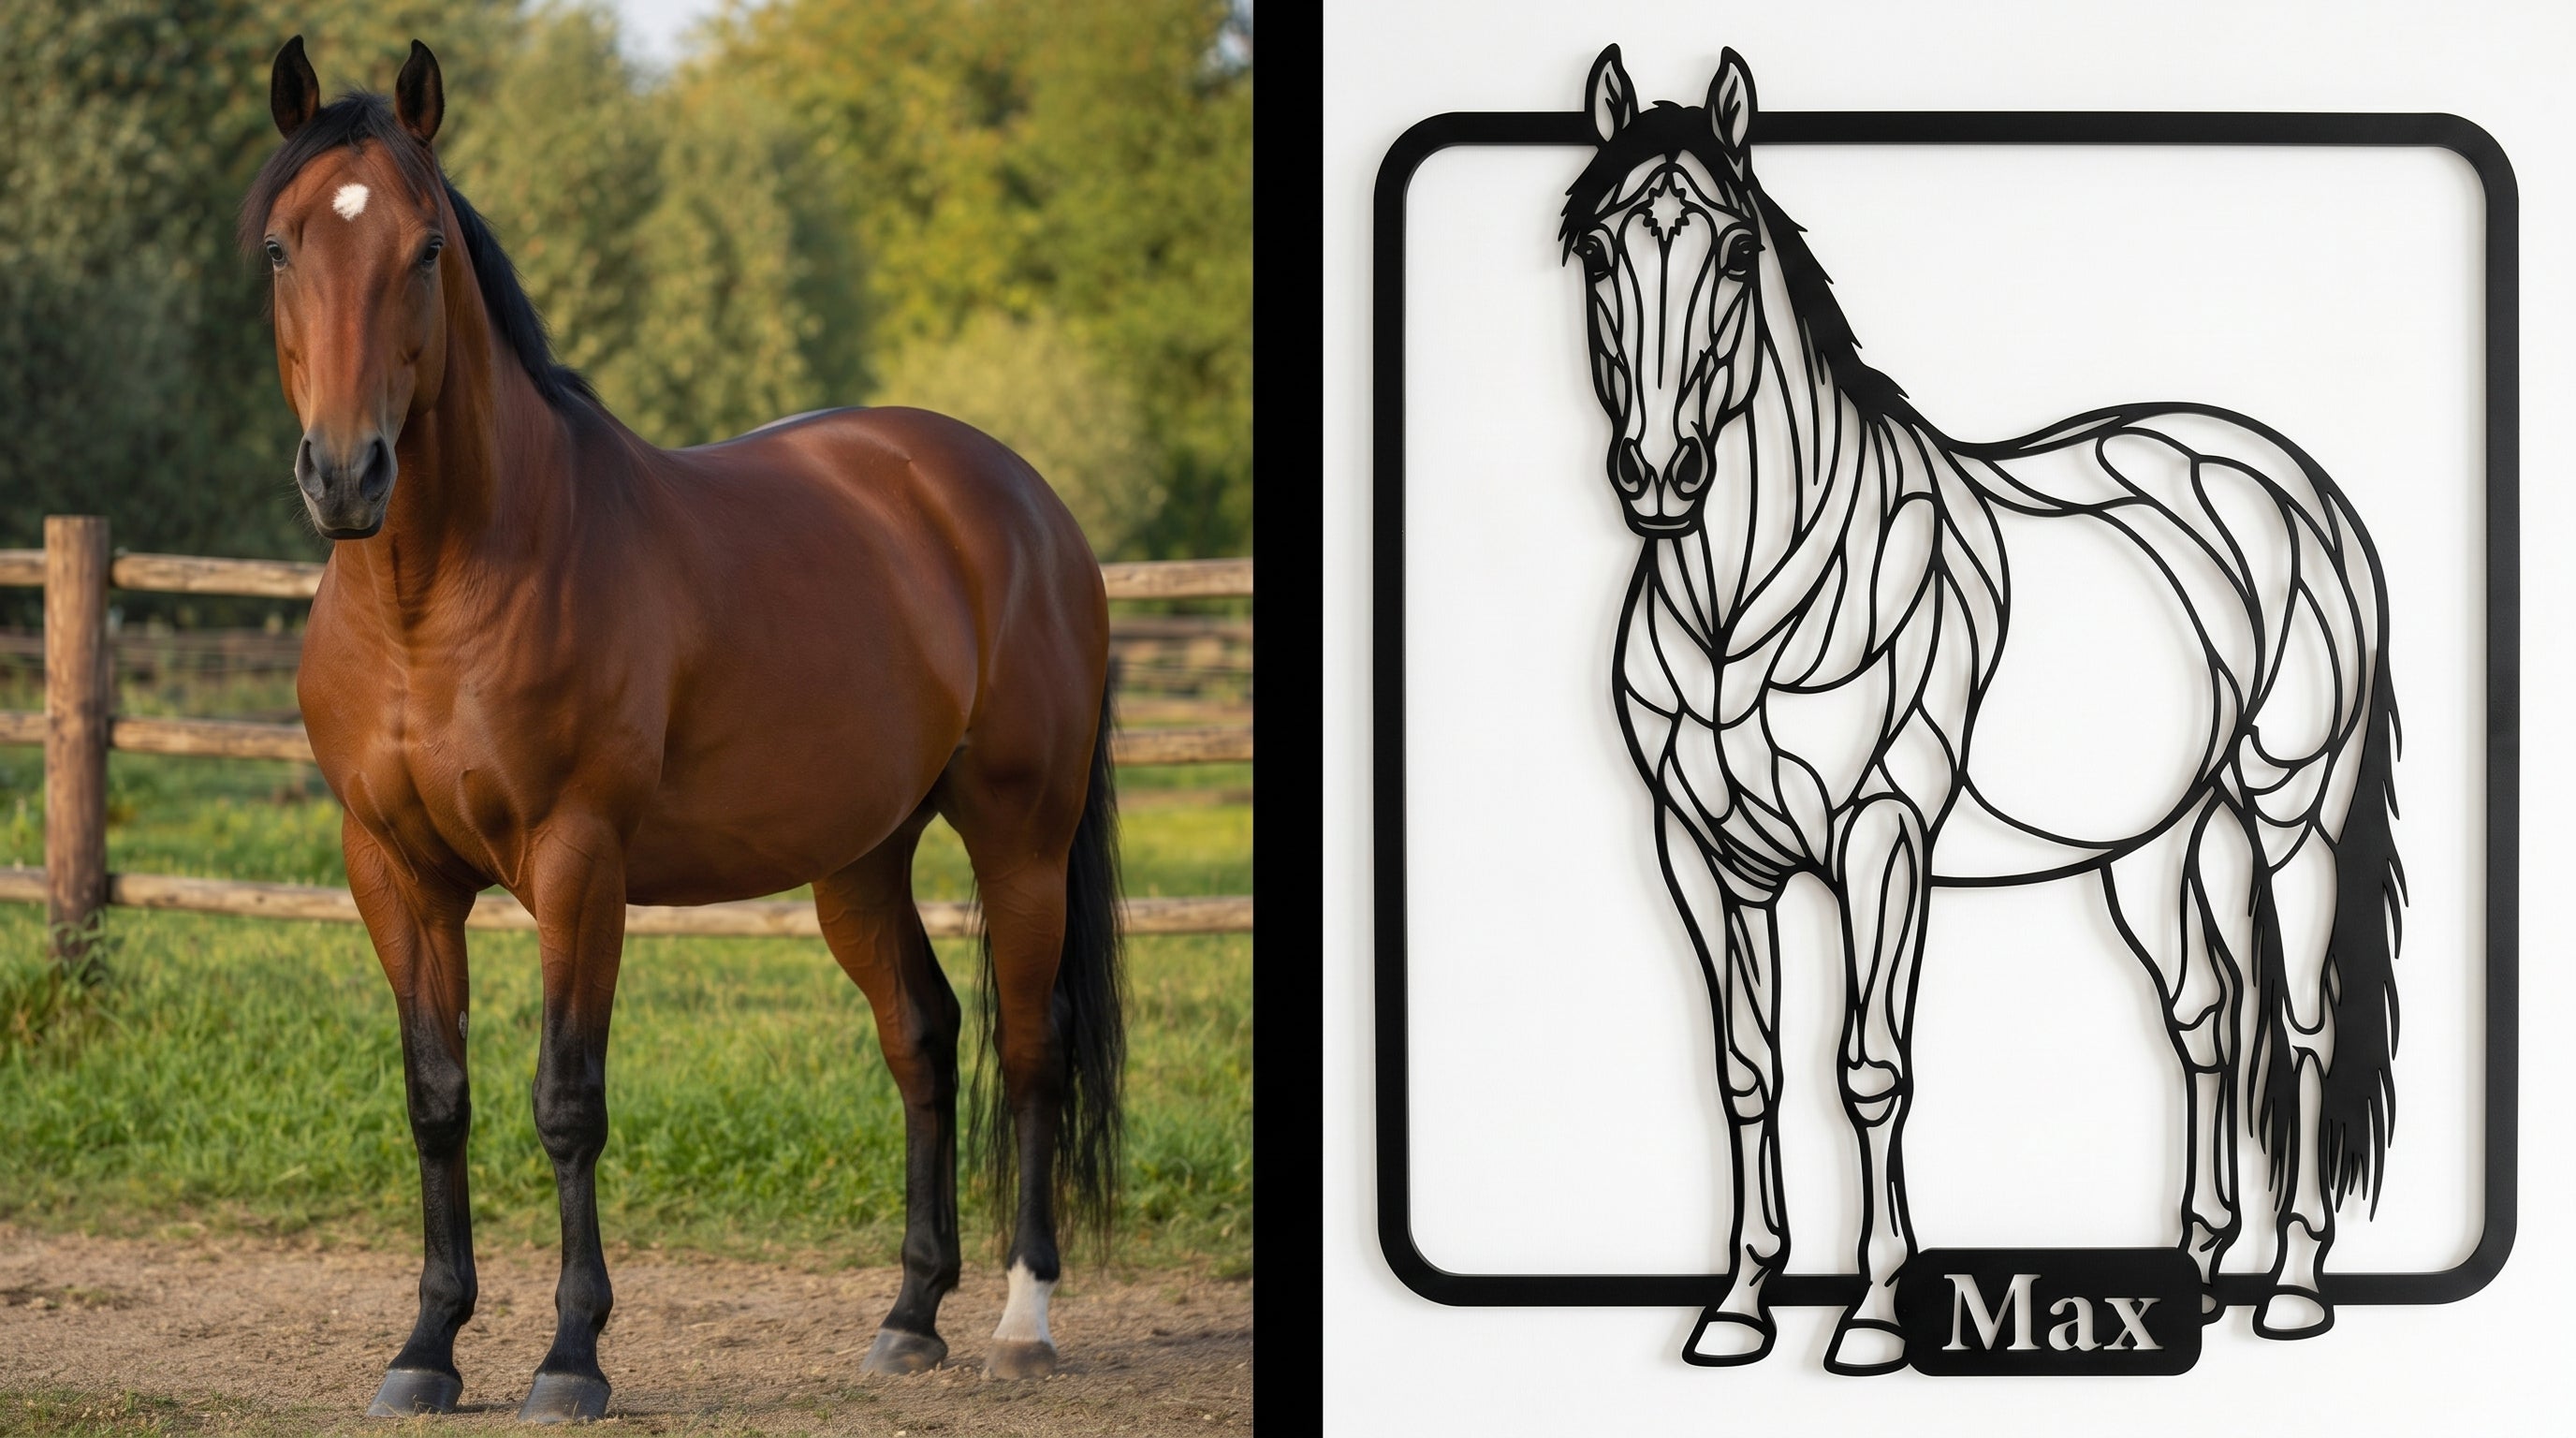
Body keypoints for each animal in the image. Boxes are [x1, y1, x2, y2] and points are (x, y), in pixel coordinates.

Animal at [241, 37, 1123, 1421]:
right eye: (283, 247)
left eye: (425, 249)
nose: (345, 474)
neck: (438, 598)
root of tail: (1020, 498)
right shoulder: (391, 871)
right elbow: (437, 1100)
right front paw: (427, 1348)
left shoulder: (578, 863)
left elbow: (567, 1101)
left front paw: (570, 1359)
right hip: (859, 860)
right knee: (924, 1037)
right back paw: (909, 1317)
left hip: (1019, 840)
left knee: (1032, 1050)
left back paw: (1021, 1324)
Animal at [1560, 46, 2402, 1374]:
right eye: (1596, 250)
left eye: (1735, 250)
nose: (1656, 476)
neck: (1743, 602)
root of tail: (2281, 476)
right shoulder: (1700, 853)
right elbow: (1744, 1069)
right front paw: (1737, 1305)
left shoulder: (1881, 837)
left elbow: (1868, 1067)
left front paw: (1867, 1316)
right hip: (2163, 840)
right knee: (2208, 1015)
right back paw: (2200, 1271)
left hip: (2290, 813)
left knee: (2307, 1025)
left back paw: (2295, 1288)